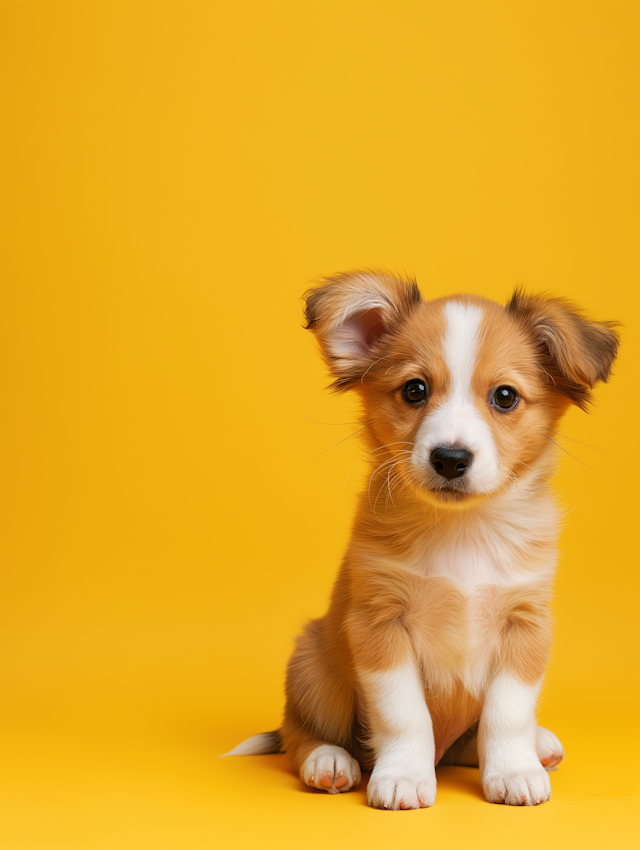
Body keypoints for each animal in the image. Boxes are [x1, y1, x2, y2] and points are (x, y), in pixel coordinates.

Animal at [226, 272, 620, 808]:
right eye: (414, 390)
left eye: (505, 397)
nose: (451, 459)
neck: (462, 530)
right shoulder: (379, 624)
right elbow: (404, 714)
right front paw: (404, 777)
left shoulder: (525, 625)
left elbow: (508, 712)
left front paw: (514, 769)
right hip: (313, 668)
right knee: (298, 734)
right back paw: (329, 761)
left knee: (470, 742)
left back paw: (539, 746)